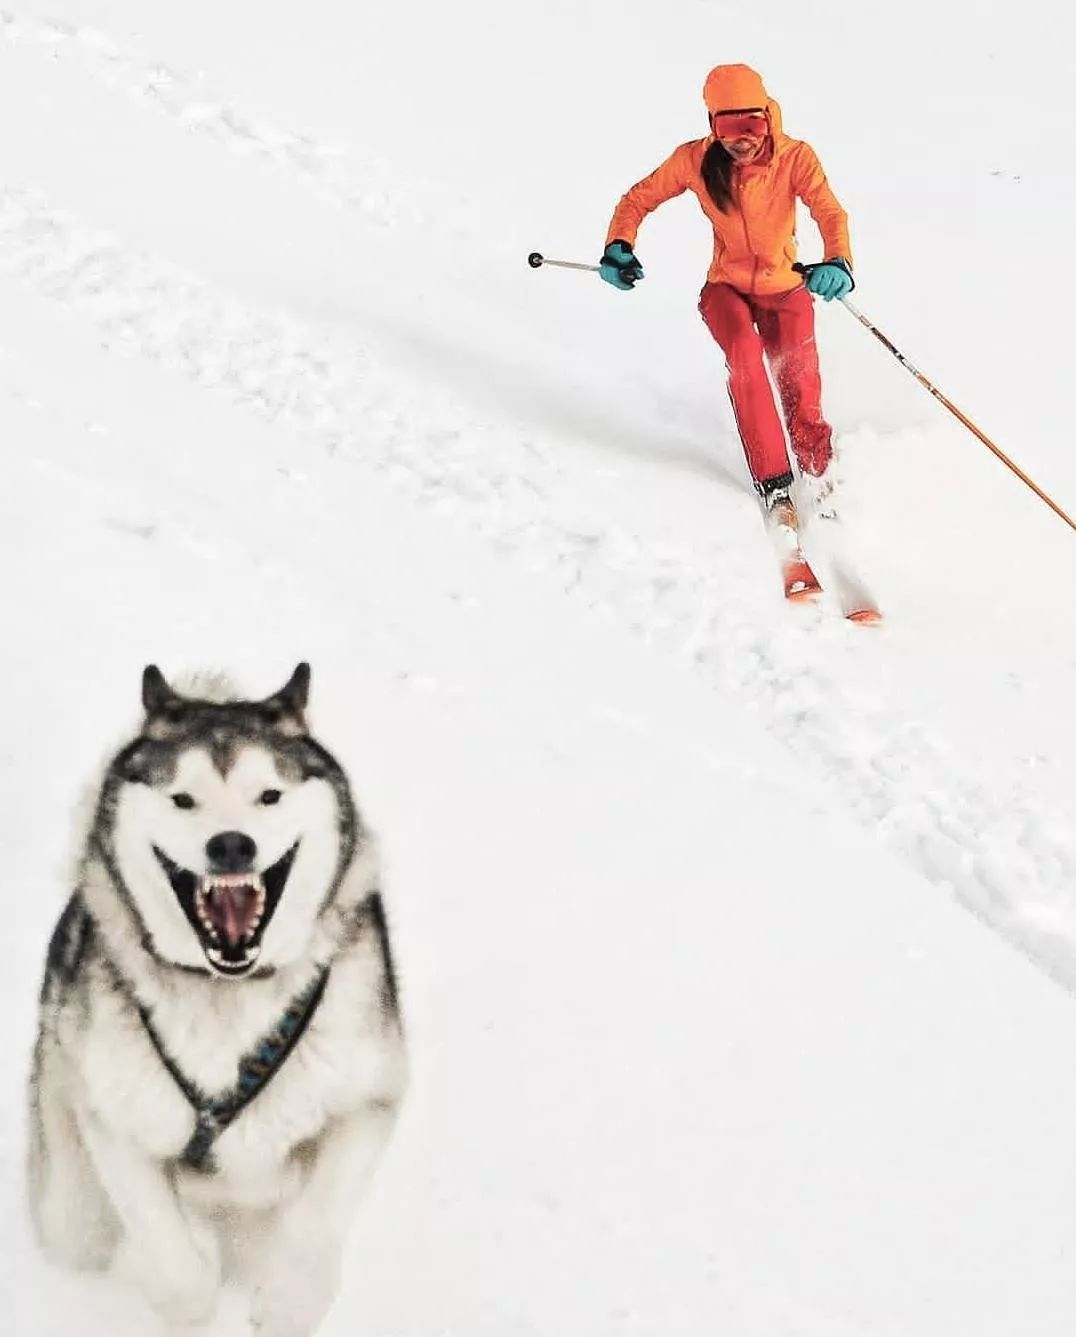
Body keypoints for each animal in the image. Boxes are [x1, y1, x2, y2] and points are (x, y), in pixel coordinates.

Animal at [30, 663, 406, 1331]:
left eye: (269, 796)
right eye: (183, 799)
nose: (231, 845)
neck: (227, 990)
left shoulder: (365, 1102)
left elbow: (315, 1224)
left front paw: (288, 1303)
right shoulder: (118, 1121)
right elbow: (169, 1252)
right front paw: (188, 1298)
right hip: (71, 1197)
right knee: (82, 1227)